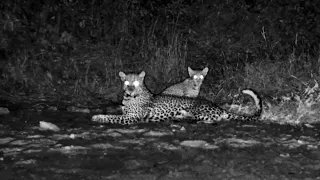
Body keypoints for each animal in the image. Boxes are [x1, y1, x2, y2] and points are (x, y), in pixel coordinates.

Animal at [91, 71, 262, 124]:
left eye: (136, 82)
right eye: (127, 82)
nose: (131, 90)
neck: (129, 98)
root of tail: (217, 106)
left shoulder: (132, 117)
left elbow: (112, 117)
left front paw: (97, 116)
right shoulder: (127, 113)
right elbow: (115, 113)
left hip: (199, 111)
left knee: (211, 119)